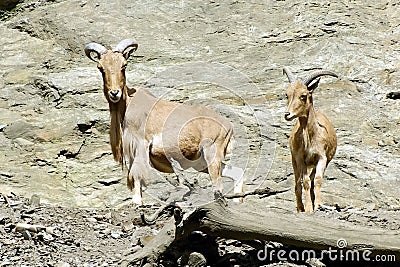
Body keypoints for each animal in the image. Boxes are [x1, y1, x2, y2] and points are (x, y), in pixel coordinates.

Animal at [84, 39, 244, 205]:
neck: (128, 104)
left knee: (218, 184)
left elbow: (137, 174)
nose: (114, 93)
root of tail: (229, 126)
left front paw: (137, 202)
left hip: (212, 153)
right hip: (201, 161)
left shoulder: (141, 144)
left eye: (124, 65)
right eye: (101, 68)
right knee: (237, 172)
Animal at [282, 68, 338, 215]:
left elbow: (317, 180)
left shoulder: (322, 158)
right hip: (294, 161)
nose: (287, 114)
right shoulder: (300, 159)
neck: (311, 138)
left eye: (303, 95)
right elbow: (305, 182)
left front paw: (318, 205)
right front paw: (308, 208)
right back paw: (300, 207)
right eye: (287, 94)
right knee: (297, 183)